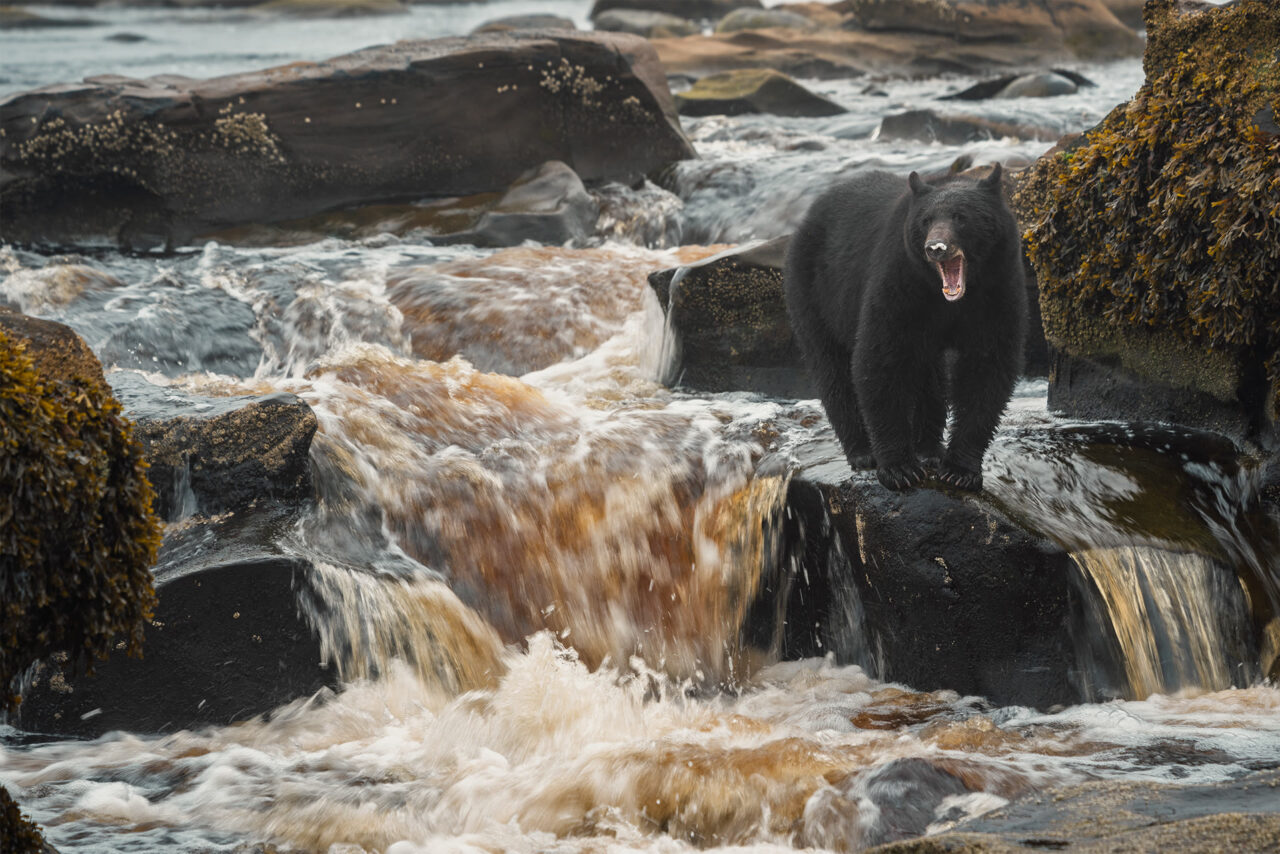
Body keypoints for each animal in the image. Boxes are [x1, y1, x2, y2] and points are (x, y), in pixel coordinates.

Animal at [783, 164, 1027, 491]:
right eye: (926, 220)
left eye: (961, 217)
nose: (935, 248)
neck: (949, 297)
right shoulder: (899, 281)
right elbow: (880, 358)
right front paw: (899, 469)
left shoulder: (998, 288)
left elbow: (987, 368)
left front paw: (961, 470)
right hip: (813, 293)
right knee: (831, 367)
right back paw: (862, 452)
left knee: (929, 374)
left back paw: (929, 449)